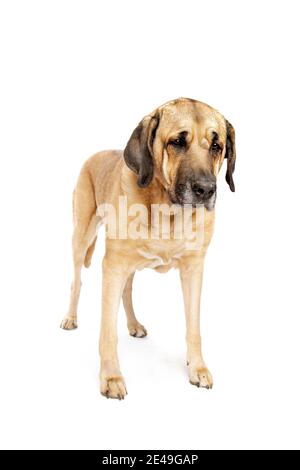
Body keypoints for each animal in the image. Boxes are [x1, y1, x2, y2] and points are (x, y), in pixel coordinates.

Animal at [59, 97, 236, 398]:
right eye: (177, 142)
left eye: (216, 146)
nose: (206, 190)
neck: (168, 214)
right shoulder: (113, 265)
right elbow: (107, 331)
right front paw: (111, 376)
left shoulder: (193, 269)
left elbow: (194, 325)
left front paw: (197, 367)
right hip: (82, 237)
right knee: (77, 281)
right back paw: (70, 318)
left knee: (127, 290)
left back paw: (134, 325)